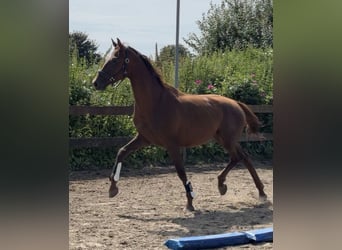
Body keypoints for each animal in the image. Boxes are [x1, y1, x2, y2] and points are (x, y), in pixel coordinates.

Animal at [93, 38, 268, 211]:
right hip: (224, 139)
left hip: (227, 140)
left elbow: (181, 172)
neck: (156, 102)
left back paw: (225, 185)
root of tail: (236, 104)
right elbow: (121, 152)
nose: (96, 83)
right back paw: (258, 192)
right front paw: (112, 188)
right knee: (244, 157)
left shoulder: (172, 145)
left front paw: (190, 202)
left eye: (115, 59)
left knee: (237, 157)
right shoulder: (144, 138)